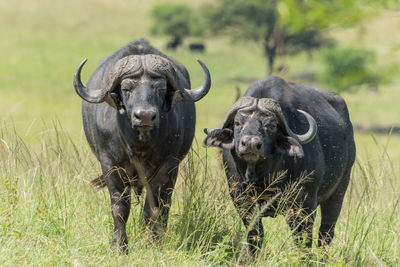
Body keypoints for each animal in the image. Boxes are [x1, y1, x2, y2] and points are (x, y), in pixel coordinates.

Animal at [75, 39, 212, 253]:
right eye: (126, 89)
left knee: (165, 205)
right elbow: (120, 207)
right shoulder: (110, 165)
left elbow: (154, 208)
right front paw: (120, 245)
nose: (145, 116)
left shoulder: (168, 166)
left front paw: (154, 241)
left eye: (160, 89)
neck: (139, 145)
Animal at [205, 76, 354, 254]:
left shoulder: (304, 203)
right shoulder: (241, 199)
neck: (263, 176)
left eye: (271, 125)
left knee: (325, 234)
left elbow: (303, 241)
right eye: (237, 123)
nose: (250, 144)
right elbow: (255, 236)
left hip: (338, 191)